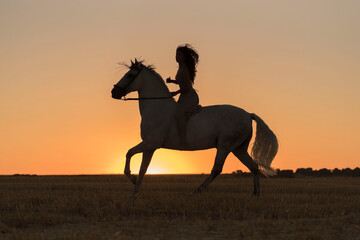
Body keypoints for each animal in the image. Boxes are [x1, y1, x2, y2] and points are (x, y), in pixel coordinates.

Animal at [110, 59, 278, 196]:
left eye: (130, 75)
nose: (114, 92)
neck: (156, 106)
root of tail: (248, 114)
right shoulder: (150, 147)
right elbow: (143, 167)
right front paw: (134, 190)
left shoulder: (150, 143)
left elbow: (129, 153)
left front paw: (132, 180)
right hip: (238, 148)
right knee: (253, 167)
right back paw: (255, 194)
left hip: (225, 146)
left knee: (217, 169)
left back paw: (195, 191)